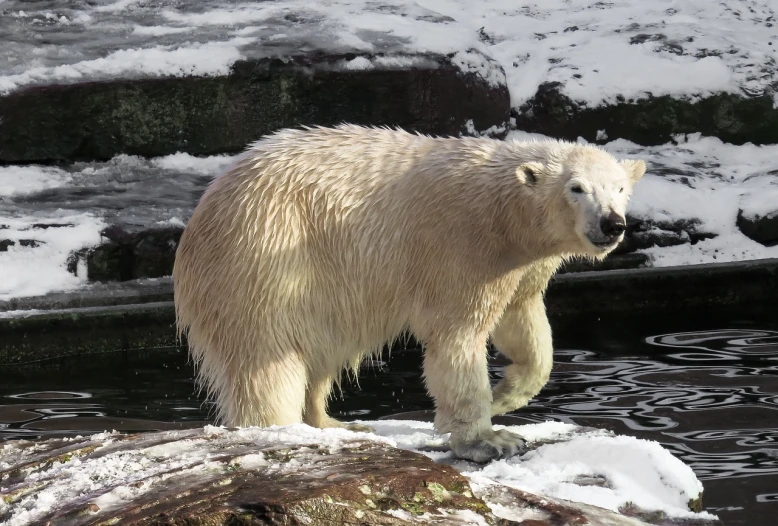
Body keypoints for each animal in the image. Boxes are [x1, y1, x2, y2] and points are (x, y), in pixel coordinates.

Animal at [173, 124, 644, 462]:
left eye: (620, 188)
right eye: (576, 188)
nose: (612, 223)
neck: (504, 214)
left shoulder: (519, 266)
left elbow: (522, 324)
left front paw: (504, 396)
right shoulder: (461, 248)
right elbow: (457, 338)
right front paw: (490, 440)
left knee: (322, 351)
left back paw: (334, 423)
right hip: (267, 260)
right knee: (269, 361)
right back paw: (280, 429)